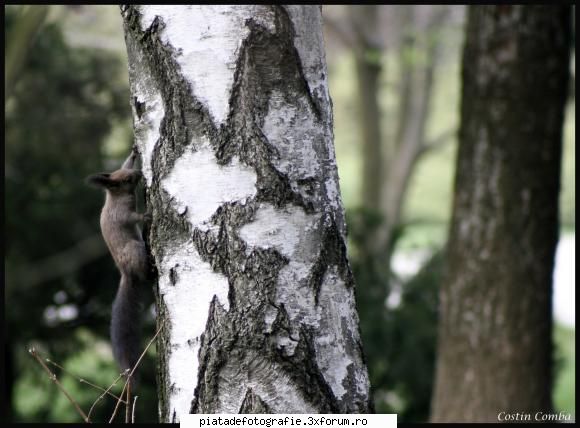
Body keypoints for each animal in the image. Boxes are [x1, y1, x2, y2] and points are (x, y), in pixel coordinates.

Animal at [86, 150, 151, 392]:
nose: (140, 173)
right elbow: (132, 218)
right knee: (143, 273)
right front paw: (146, 216)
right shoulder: (121, 214)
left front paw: (133, 153)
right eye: (126, 180)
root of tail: (125, 273)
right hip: (134, 249)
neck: (114, 197)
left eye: (126, 172)